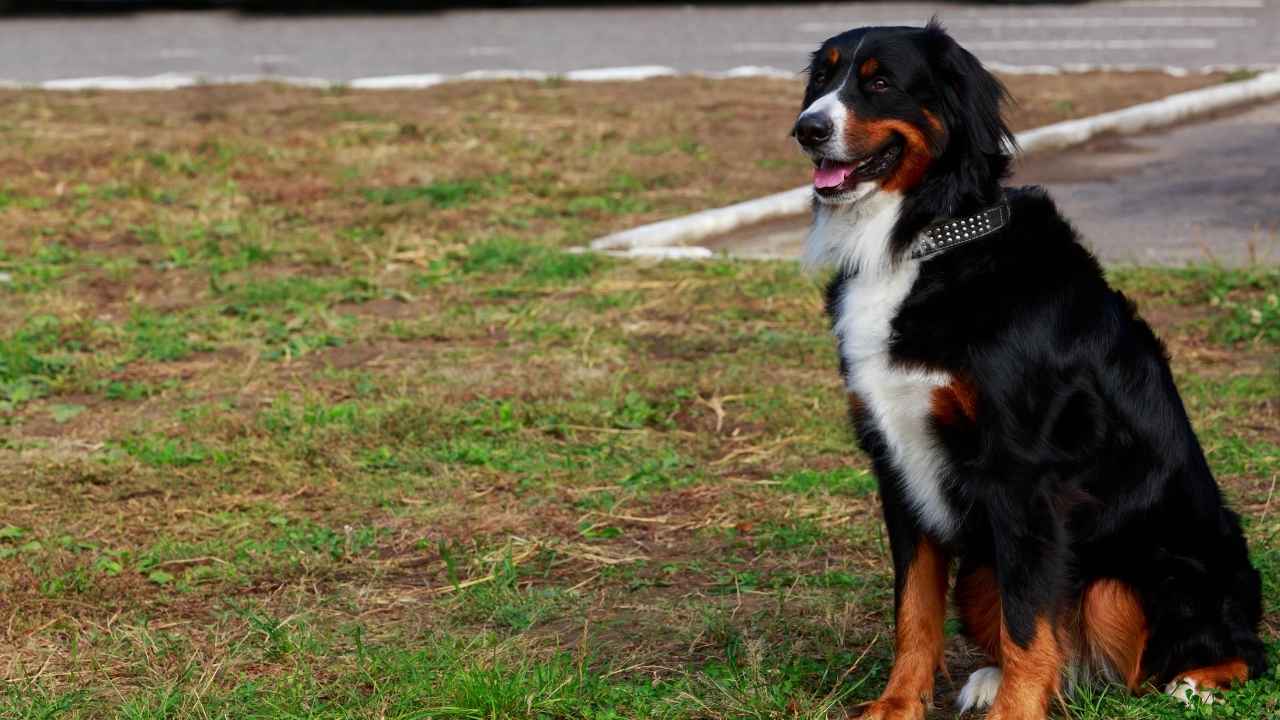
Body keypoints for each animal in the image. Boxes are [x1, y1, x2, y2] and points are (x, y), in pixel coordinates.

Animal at [793, 19, 1264, 712]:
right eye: (822, 78)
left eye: (880, 83)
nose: (807, 129)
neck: (923, 245)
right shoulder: (896, 463)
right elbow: (914, 608)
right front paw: (897, 705)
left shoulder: (1020, 472)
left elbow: (1026, 616)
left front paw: (1015, 711)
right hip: (979, 569)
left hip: (1139, 574)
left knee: (1225, 652)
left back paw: (1197, 680)